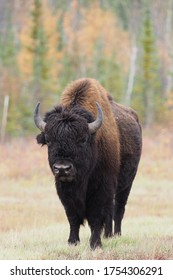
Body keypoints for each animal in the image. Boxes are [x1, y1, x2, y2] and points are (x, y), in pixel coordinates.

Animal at [34, 77, 142, 248]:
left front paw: (95, 243)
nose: (62, 168)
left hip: (127, 183)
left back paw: (116, 235)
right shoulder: (63, 190)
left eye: (83, 139)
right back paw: (108, 235)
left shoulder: (101, 187)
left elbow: (96, 216)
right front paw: (72, 241)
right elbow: (72, 216)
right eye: (49, 140)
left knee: (118, 209)